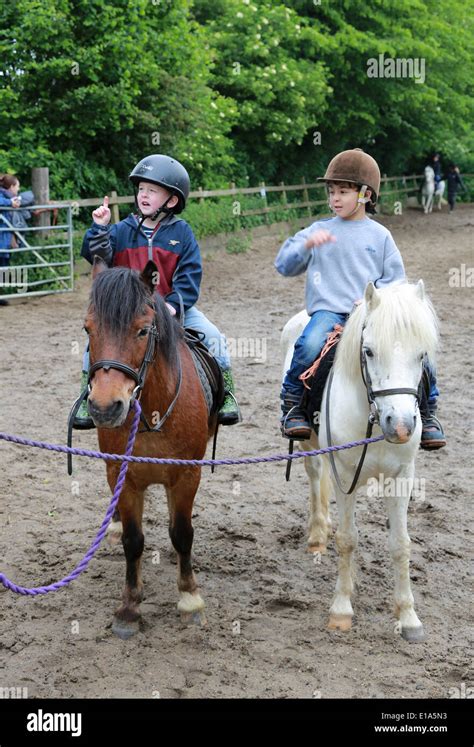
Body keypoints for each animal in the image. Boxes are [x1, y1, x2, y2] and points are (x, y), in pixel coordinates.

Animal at [85, 256, 217, 636]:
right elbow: (134, 541)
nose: (105, 408)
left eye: (143, 330)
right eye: (88, 330)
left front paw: (190, 599)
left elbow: (182, 532)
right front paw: (129, 608)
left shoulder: (186, 475)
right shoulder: (123, 475)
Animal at [280, 280, 438, 644]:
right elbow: (347, 539)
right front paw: (341, 610)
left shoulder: (402, 476)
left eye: (422, 355)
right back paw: (317, 535)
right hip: (309, 443)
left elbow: (401, 544)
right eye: (369, 352)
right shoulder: (346, 474)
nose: (401, 425)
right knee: (315, 476)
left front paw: (408, 618)